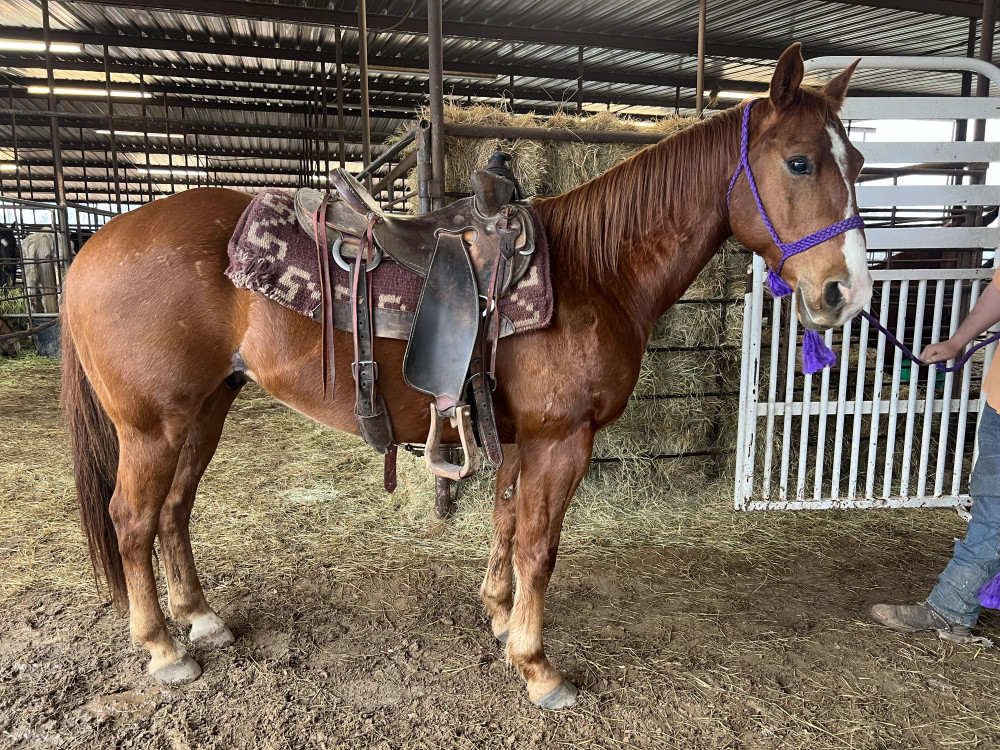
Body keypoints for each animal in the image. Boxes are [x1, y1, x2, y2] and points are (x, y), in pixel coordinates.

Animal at [60, 44, 871, 709]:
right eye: (800, 162)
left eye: (858, 165)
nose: (846, 293)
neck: (593, 271)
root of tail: (96, 246)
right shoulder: (562, 441)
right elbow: (540, 545)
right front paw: (538, 667)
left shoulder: (519, 436)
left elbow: (508, 524)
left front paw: (499, 615)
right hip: (153, 425)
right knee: (132, 519)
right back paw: (164, 649)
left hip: (205, 409)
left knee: (173, 513)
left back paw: (200, 619)